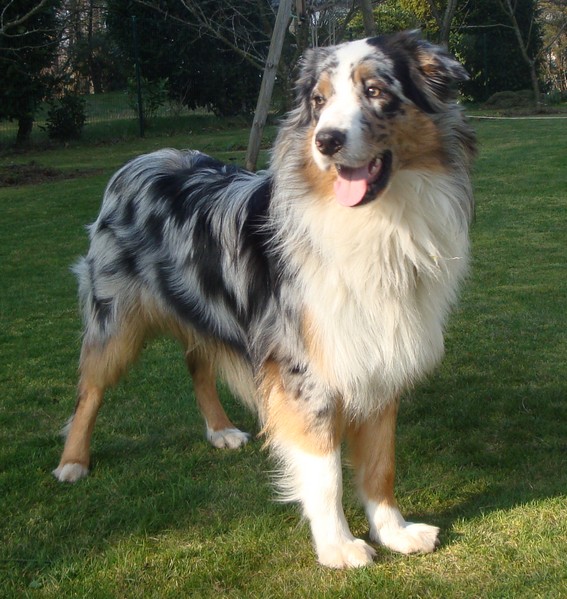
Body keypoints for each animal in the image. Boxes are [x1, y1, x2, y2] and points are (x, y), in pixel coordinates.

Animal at [54, 31, 476, 568]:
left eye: (376, 90)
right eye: (318, 102)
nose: (326, 141)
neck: (379, 222)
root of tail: (143, 158)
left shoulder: (379, 356)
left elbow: (381, 463)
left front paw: (394, 531)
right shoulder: (303, 372)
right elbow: (325, 471)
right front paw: (337, 546)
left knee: (197, 361)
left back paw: (219, 430)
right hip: (116, 319)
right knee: (90, 390)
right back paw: (72, 461)